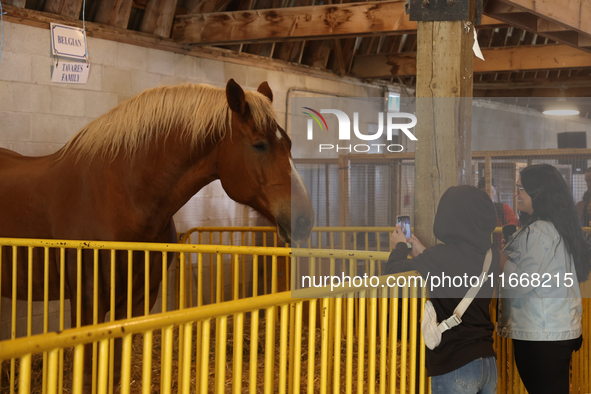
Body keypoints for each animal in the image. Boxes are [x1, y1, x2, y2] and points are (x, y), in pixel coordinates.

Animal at [0, 78, 316, 390]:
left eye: (288, 144)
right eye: (259, 145)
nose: (305, 219)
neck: (120, 197)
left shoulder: (138, 300)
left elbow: (117, 374)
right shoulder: (88, 302)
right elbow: (89, 377)